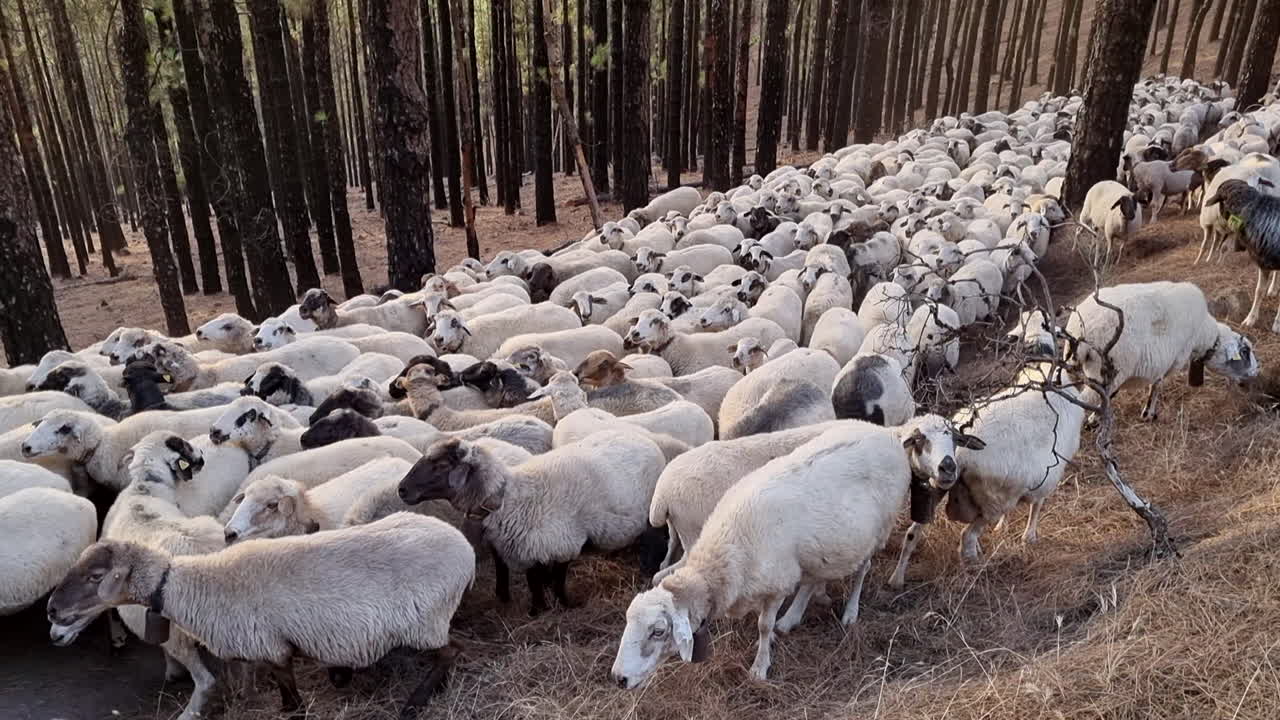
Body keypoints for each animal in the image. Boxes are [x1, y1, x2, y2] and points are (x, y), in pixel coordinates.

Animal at [48, 513, 473, 717]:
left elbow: (290, 692)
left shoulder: (270, 644)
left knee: (452, 651)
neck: (194, 585)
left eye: (96, 576)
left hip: (425, 621)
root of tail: (465, 550)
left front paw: (289, 710)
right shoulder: (266, 646)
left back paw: (416, 703)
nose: (52, 611)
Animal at [398, 432, 664, 615]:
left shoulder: (560, 543)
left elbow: (551, 581)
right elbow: (532, 580)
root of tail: (642, 437)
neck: (511, 500)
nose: (401, 489)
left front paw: (555, 608)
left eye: (442, 465)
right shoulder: (526, 548)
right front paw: (535, 608)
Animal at [613, 415, 983, 684]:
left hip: (876, 530)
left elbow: (763, 626)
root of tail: (883, 435)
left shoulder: (776, 583)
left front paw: (760, 667)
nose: (618, 678)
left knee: (861, 570)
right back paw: (794, 616)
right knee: (814, 575)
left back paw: (849, 613)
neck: (729, 551)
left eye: (658, 631)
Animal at [890, 367, 1085, 588]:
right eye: (918, 440)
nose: (947, 467)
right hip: (991, 504)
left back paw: (897, 578)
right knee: (967, 537)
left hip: (948, 490)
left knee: (914, 534)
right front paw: (1028, 535)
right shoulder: (1026, 486)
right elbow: (1037, 504)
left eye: (955, 438)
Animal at [1063, 281, 1259, 421]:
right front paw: (1148, 413)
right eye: (1245, 351)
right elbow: (1156, 385)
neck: (1205, 335)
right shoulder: (1170, 360)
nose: (1257, 372)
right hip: (1111, 368)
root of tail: (1082, 329)